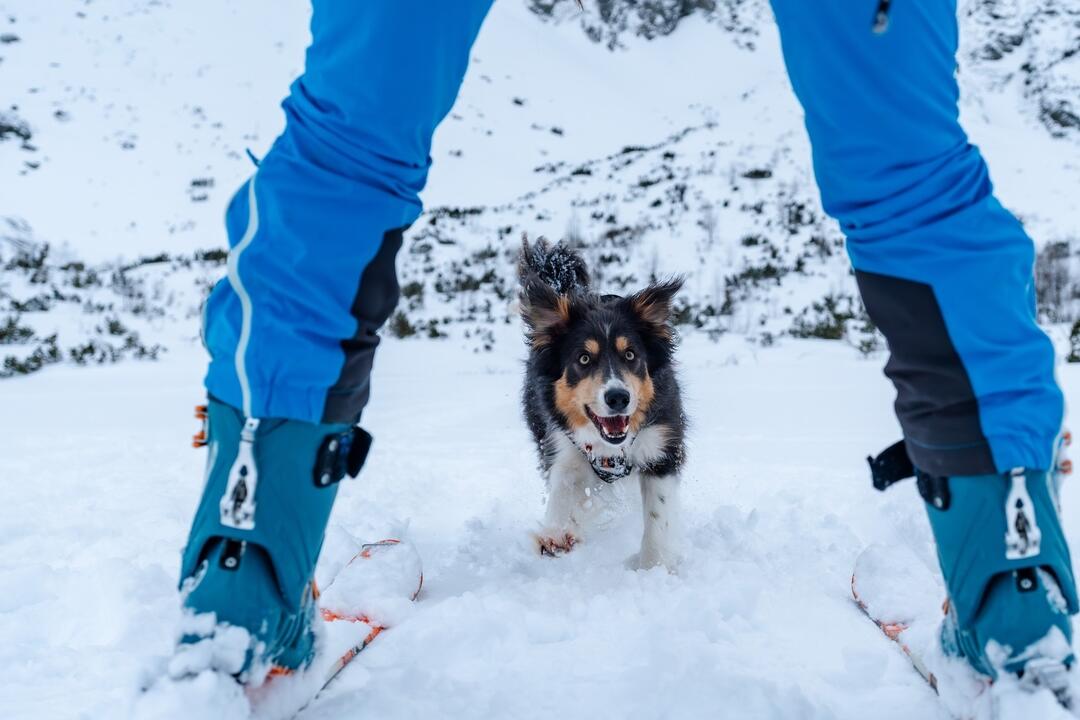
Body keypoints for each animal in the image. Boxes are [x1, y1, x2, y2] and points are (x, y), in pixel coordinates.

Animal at [514, 239, 682, 569]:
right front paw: (556, 533)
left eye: (630, 355)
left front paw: (652, 567)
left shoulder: (663, 446)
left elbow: (657, 515)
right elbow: (564, 487)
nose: (618, 397)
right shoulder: (561, 442)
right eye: (583, 359)